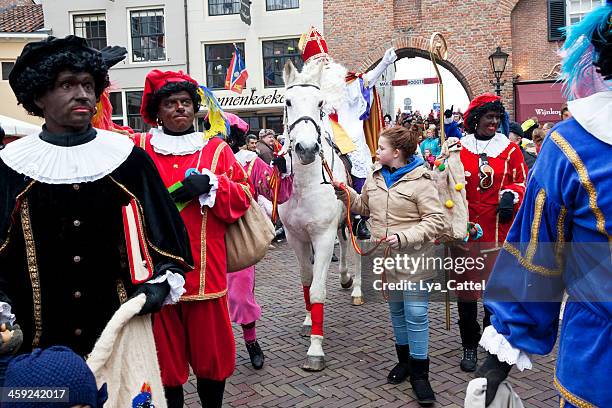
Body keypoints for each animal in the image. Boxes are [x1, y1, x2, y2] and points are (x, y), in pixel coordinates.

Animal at [278, 59, 358, 370]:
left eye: (320, 102)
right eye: (287, 101)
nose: (307, 148)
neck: (305, 184)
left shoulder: (322, 237)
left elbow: (317, 290)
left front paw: (315, 350)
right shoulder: (295, 237)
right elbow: (306, 280)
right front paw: (308, 321)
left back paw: (357, 289)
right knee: (345, 244)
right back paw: (345, 278)